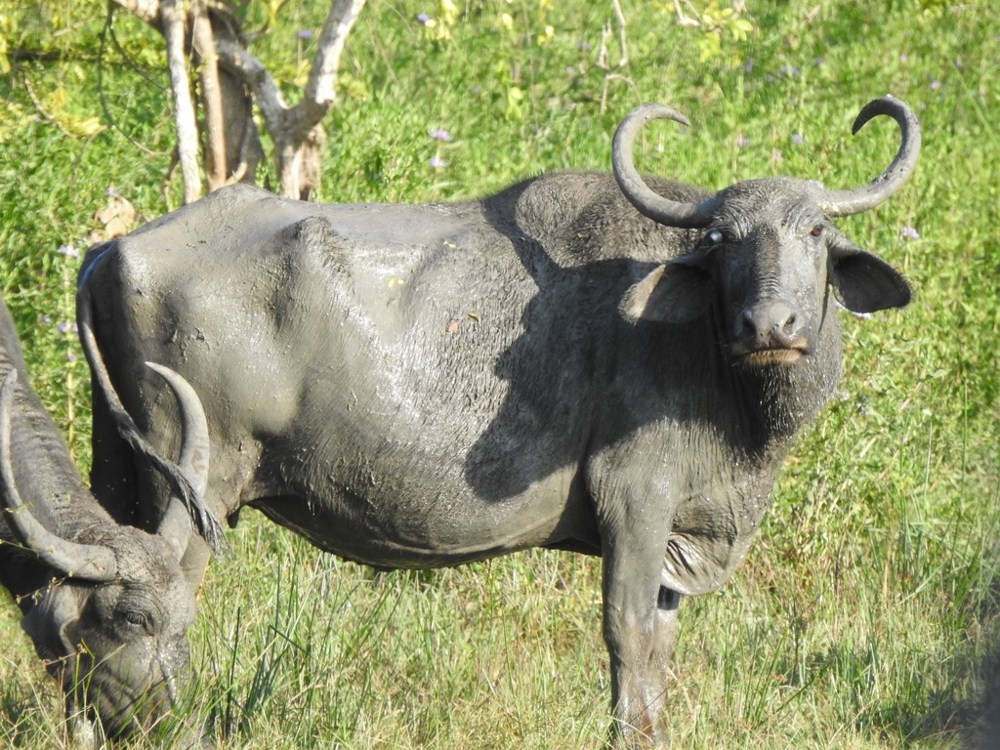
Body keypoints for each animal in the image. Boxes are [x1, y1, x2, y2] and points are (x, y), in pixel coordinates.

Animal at [80, 98, 920, 748]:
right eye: (722, 240)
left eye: (814, 232)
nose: (769, 325)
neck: (709, 356)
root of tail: (110, 252)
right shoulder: (636, 503)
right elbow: (628, 635)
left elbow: (661, 649)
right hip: (194, 492)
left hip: (119, 476)